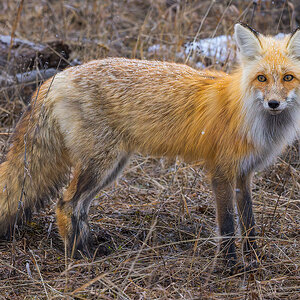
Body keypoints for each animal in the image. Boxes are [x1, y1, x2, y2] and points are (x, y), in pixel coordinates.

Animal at [0, 23, 300, 270]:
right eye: (262, 78)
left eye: (288, 78)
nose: (274, 103)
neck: (250, 116)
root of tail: (59, 76)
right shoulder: (221, 172)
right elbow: (227, 226)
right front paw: (230, 268)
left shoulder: (244, 174)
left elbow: (249, 224)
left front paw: (255, 261)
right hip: (101, 164)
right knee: (65, 204)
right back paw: (76, 256)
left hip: (111, 167)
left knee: (79, 207)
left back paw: (89, 249)